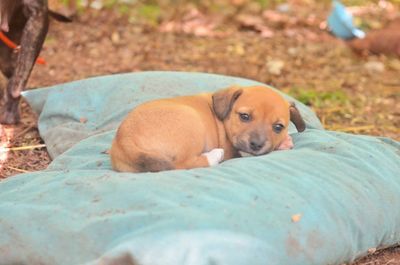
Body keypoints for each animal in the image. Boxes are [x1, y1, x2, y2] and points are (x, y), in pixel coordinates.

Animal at [111, 84, 304, 172]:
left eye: (278, 127)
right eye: (244, 116)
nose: (256, 145)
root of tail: (124, 139)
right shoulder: (232, 148)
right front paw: (285, 143)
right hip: (192, 124)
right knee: (182, 164)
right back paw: (213, 156)